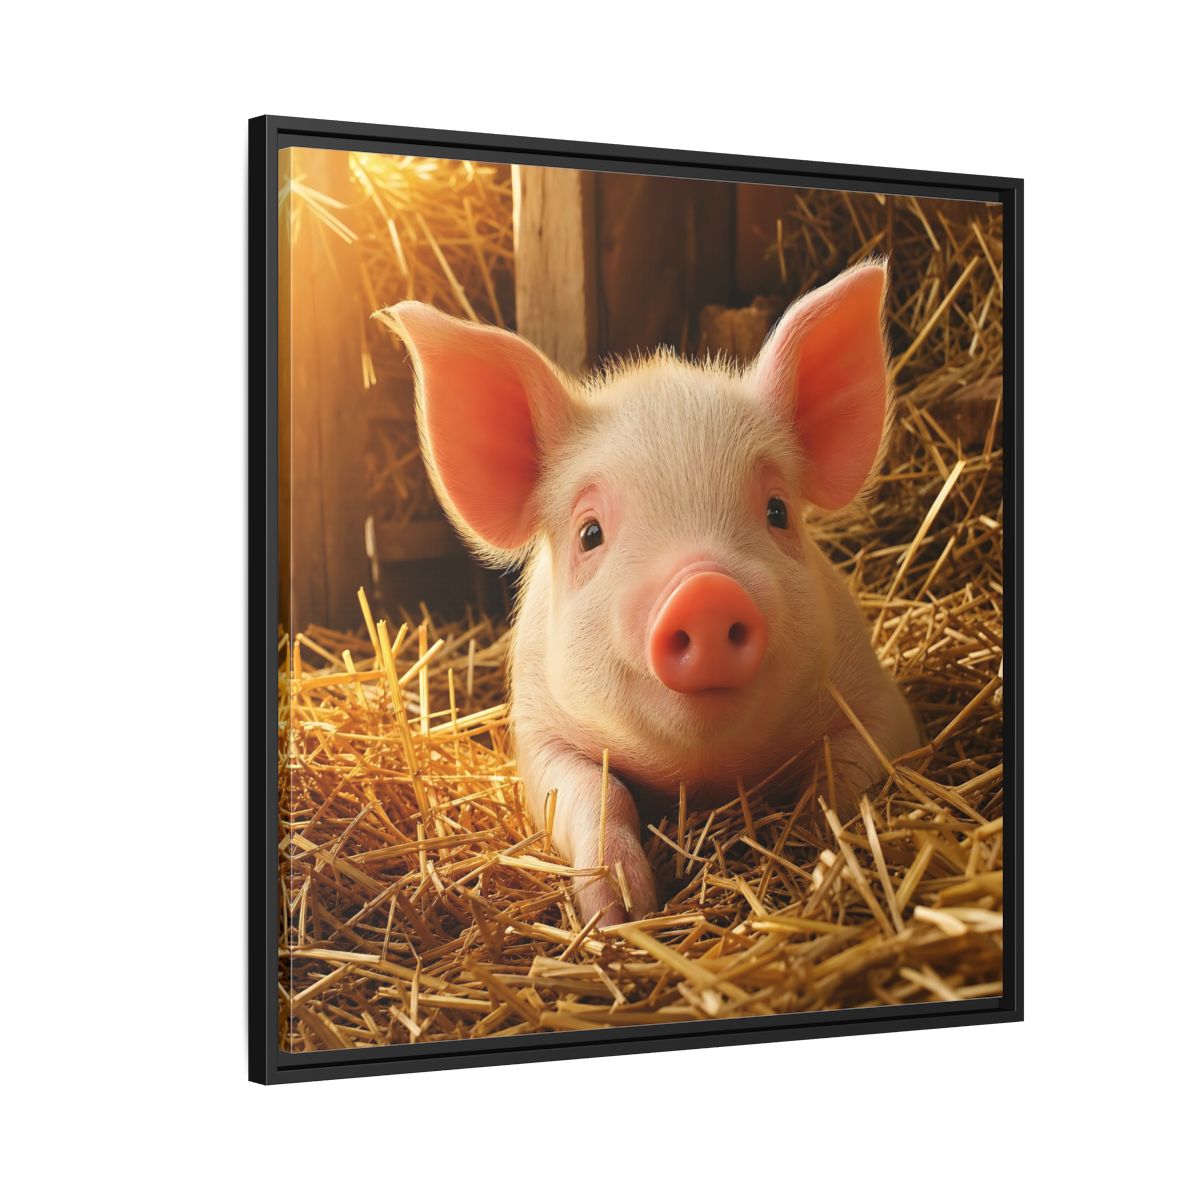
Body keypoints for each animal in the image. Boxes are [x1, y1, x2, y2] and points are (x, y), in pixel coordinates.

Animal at [376, 261, 920, 927]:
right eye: (590, 533)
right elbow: (596, 792)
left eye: (778, 510)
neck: (702, 775)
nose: (704, 591)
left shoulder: (877, 700)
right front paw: (621, 914)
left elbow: (843, 772)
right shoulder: (537, 731)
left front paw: (821, 849)